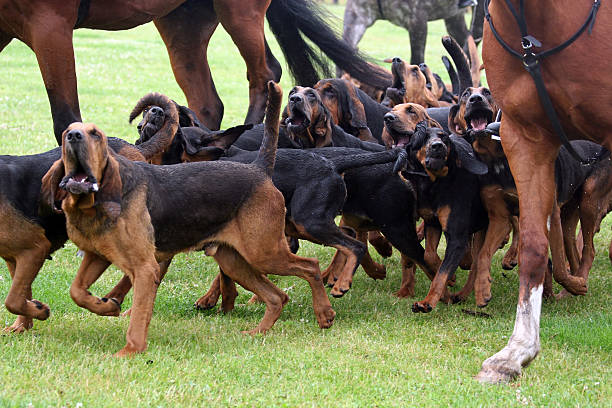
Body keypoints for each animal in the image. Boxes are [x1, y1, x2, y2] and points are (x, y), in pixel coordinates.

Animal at [0, 0, 390, 145]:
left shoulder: (50, 25)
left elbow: (66, 120)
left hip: (240, 11)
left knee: (264, 72)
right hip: (182, 21)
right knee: (206, 102)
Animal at [41, 82, 338, 354]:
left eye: (96, 135)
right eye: (67, 133)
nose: (74, 136)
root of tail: (259, 170)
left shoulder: (146, 269)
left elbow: (137, 318)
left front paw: (130, 352)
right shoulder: (98, 256)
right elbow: (77, 291)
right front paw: (106, 307)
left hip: (264, 252)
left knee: (310, 267)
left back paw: (325, 314)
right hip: (234, 260)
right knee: (277, 296)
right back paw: (258, 332)